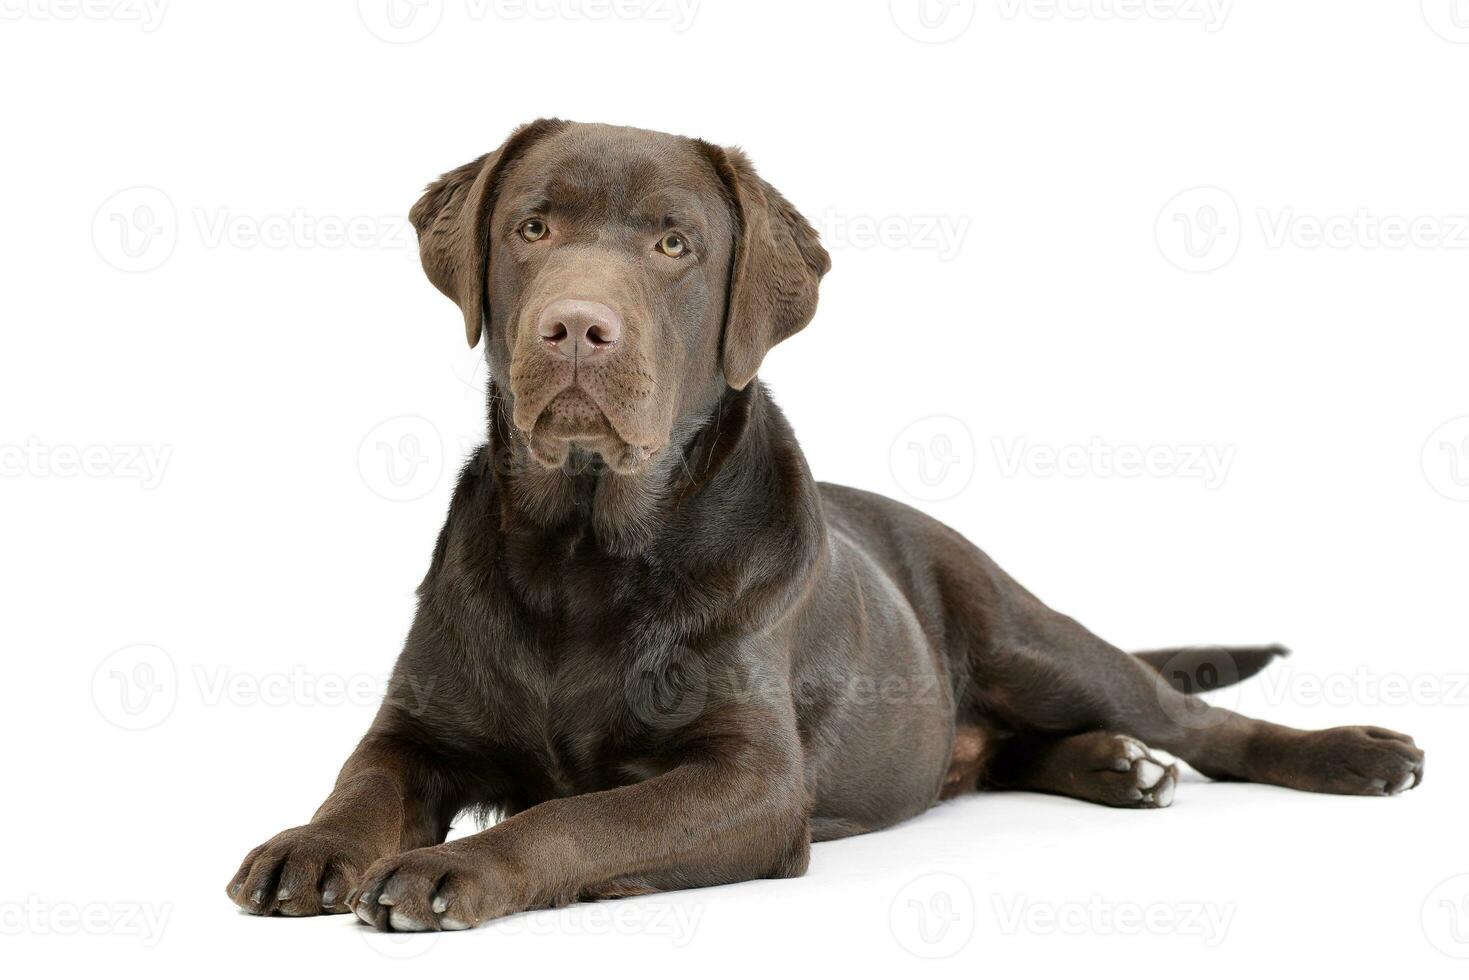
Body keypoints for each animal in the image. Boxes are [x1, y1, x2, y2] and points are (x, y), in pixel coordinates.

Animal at [226, 122, 1421, 934]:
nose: (575, 327)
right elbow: (363, 778)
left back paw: (1344, 754)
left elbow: (584, 818)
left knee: (1190, 717)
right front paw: (309, 845)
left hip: (1023, 631)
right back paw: (1116, 767)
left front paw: (459, 870)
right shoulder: (416, 722)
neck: (582, 551)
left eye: (673, 243)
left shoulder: (751, 780)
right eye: (532, 226)